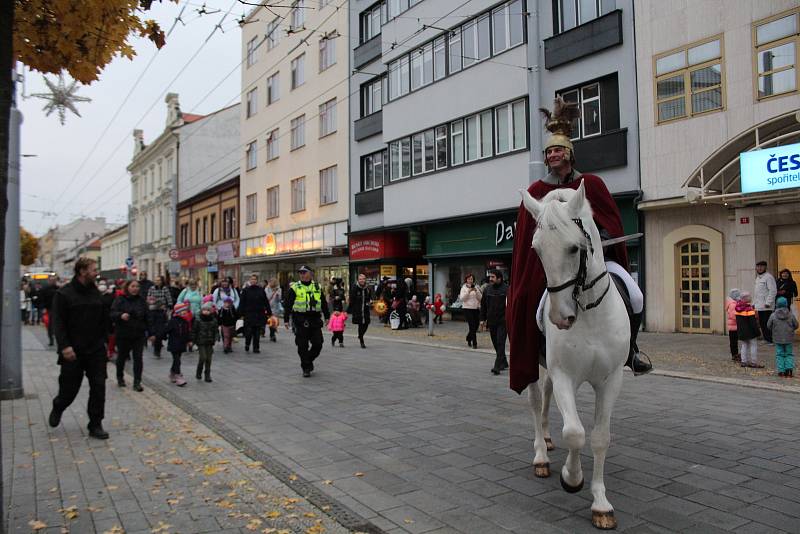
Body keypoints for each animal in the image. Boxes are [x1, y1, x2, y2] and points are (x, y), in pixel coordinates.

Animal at [520, 184, 628, 532]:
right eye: (537, 250)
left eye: (573, 248)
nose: (560, 317)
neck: (589, 314)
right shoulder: (564, 374)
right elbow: (575, 433)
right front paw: (571, 477)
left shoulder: (611, 380)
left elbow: (599, 437)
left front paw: (601, 504)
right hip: (534, 366)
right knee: (536, 402)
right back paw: (542, 454)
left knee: (545, 401)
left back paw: (547, 439)